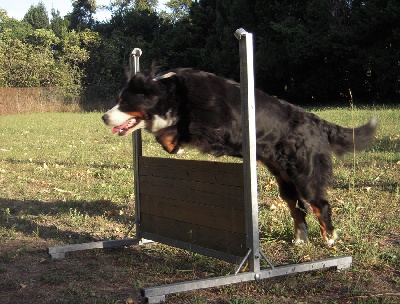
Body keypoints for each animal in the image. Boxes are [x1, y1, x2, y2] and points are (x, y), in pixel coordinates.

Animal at [103, 67, 378, 246]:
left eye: (124, 102)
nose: (104, 117)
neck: (174, 95)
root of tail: (315, 120)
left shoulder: (218, 127)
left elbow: (171, 133)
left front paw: (174, 143)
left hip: (305, 174)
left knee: (320, 204)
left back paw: (330, 238)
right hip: (284, 179)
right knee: (297, 206)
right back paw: (299, 238)